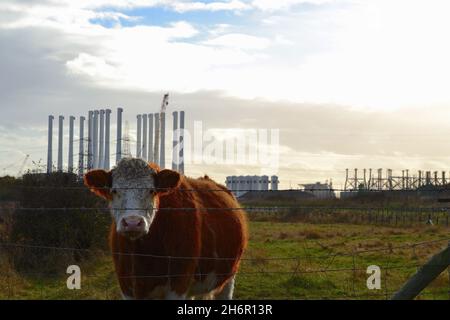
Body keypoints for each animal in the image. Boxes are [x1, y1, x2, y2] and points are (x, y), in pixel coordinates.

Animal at [82, 158, 248, 300]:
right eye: (114, 191)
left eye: (152, 191)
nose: (133, 223)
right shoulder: (126, 286)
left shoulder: (178, 284)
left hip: (228, 277)